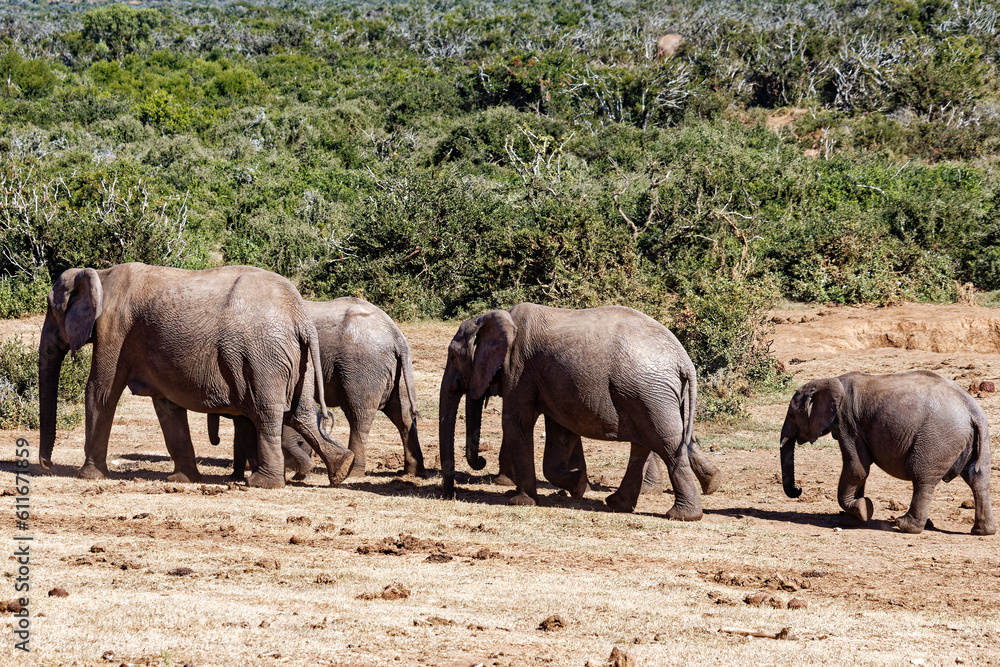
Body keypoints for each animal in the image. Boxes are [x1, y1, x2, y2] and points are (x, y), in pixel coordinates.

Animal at [38, 262, 355, 489]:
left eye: (51, 309)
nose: (46, 465)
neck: (101, 276)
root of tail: (300, 317)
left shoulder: (114, 328)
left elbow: (100, 392)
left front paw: (88, 476)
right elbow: (166, 405)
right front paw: (182, 480)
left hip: (263, 357)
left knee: (266, 413)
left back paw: (262, 483)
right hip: (297, 359)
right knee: (301, 414)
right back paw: (341, 469)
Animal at [207, 297, 424, 479]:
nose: (215, 441)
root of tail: (396, 334)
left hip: (363, 368)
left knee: (359, 416)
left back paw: (353, 473)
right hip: (397, 371)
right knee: (403, 415)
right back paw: (411, 473)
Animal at [438, 302, 720, 520]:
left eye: (452, 357)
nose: (450, 495)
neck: (499, 317)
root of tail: (684, 360)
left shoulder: (519, 370)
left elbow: (517, 424)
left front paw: (521, 501)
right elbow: (560, 432)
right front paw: (578, 484)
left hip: (649, 394)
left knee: (665, 444)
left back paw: (681, 515)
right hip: (647, 395)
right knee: (646, 444)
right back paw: (619, 504)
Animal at [780, 371, 995, 535]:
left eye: (792, 415)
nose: (799, 489)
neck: (831, 380)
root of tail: (971, 408)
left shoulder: (848, 424)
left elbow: (857, 468)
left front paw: (862, 510)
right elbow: (859, 471)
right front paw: (853, 519)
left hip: (938, 438)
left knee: (922, 477)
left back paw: (905, 526)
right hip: (977, 437)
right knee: (978, 478)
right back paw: (982, 531)